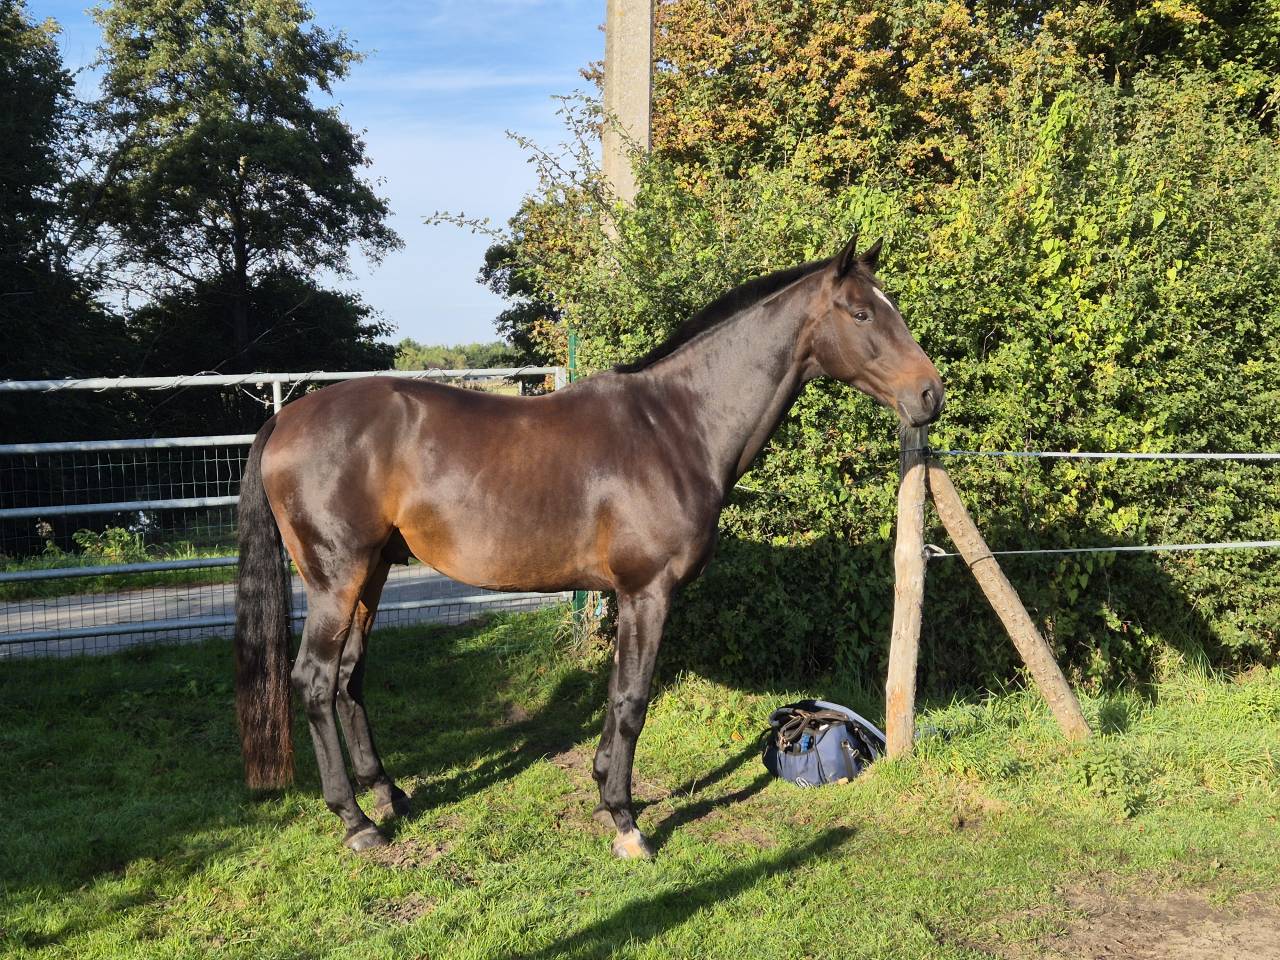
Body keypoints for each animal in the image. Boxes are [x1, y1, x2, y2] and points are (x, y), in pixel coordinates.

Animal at [234, 234, 944, 859]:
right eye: (861, 312)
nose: (930, 394)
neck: (676, 426)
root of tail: (286, 416)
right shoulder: (647, 593)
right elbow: (631, 701)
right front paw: (627, 822)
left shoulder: (627, 597)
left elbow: (617, 695)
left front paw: (606, 795)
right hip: (337, 578)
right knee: (316, 680)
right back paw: (356, 823)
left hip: (373, 574)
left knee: (349, 678)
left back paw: (389, 795)